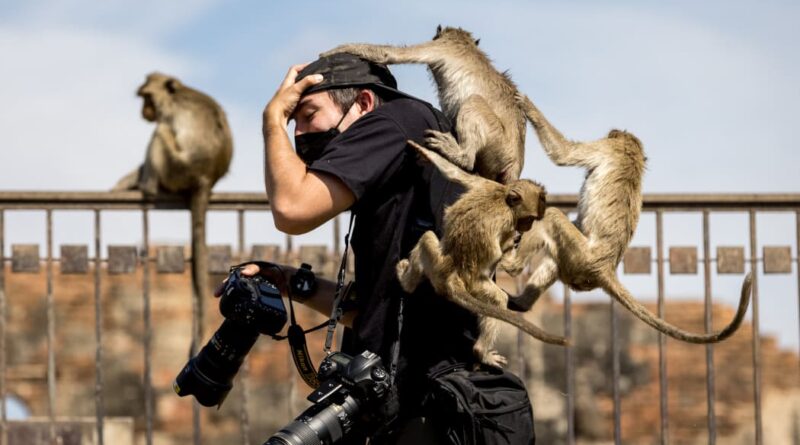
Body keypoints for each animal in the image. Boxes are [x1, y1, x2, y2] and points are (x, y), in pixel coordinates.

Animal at [112, 73, 233, 348]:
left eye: (147, 97)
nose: (144, 111)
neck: (175, 94)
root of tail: (205, 179)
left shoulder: (169, 115)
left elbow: (161, 130)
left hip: (176, 168)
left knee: (160, 133)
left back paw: (147, 186)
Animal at [322, 24, 528, 184]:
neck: (464, 42)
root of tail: (515, 161)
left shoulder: (443, 46)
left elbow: (390, 55)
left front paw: (336, 50)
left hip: (497, 142)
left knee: (474, 102)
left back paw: (462, 157)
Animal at [396, 140, 564, 366]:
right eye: (529, 219)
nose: (527, 228)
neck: (504, 199)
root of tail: (451, 279)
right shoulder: (506, 221)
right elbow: (500, 258)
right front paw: (511, 246)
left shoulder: (487, 185)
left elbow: (455, 174)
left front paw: (427, 153)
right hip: (471, 285)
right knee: (497, 298)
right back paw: (481, 352)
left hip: (436, 264)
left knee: (427, 238)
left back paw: (407, 282)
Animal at [500, 93, 752, 344]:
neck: (632, 153)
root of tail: (605, 269)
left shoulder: (607, 148)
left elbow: (564, 153)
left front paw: (528, 105)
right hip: (578, 264)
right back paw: (520, 303)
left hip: (582, 256)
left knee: (551, 217)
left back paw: (511, 265)